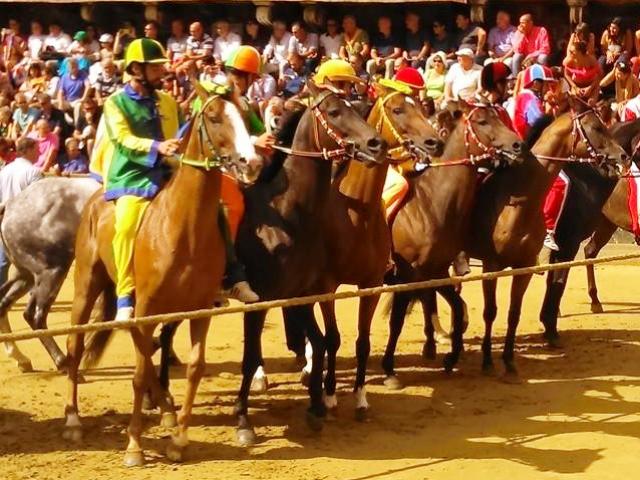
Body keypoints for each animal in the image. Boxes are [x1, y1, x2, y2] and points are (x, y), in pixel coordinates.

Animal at [0, 176, 99, 372]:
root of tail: (10, 205)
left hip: (25, 276)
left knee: (3, 305)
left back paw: (21, 358)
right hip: (53, 271)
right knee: (34, 316)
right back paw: (62, 361)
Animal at [62, 86, 258, 464]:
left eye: (244, 113)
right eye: (215, 117)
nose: (251, 162)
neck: (184, 227)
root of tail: (96, 197)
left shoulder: (199, 310)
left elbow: (194, 367)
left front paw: (178, 439)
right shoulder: (147, 308)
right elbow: (138, 374)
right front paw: (134, 444)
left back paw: (165, 406)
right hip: (86, 286)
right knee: (76, 345)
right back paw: (74, 420)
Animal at [234, 82, 384, 446]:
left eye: (358, 106)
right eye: (334, 112)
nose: (374, 143)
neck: (286, 215)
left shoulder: (299, 294)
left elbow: (319, 341)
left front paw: (316, 405)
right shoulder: (260, 300)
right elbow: (250, 357)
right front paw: (243, 420)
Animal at [380, 99, 524, 388]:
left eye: (499, 117)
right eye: (482, 121)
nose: (517, 144)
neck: (428, 205)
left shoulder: (435, 271)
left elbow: (458, 309)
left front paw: (451, 356)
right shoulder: (407, 276)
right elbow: (397, 321)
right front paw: (389, 370)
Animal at [468, 98, 628, 382]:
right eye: (597, 127)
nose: (622, 156)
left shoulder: (536, 260)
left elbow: (530, 300)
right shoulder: (563, 246)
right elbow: (555, 285)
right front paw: (550, 330)